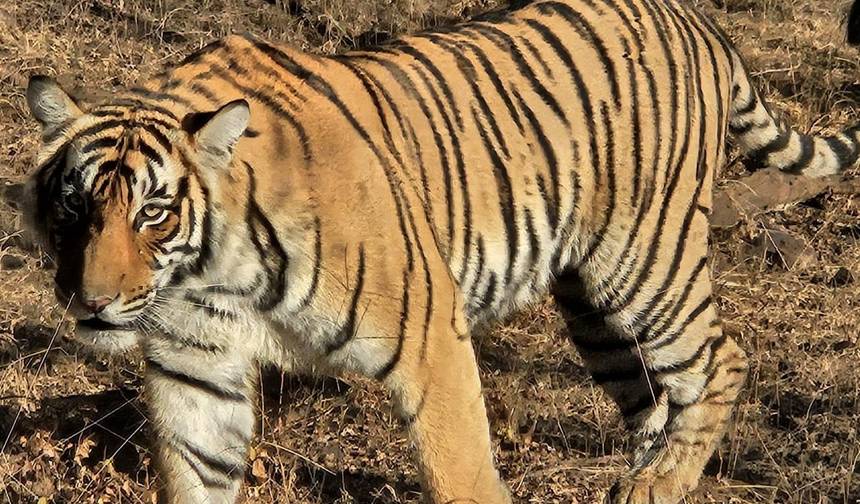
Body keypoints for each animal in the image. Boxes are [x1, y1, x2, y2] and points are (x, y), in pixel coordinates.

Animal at [22, 0, 859, 502]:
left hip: (643, 264)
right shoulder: (193, 370)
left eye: (154, 213)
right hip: (591, 306)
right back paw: (642, 477)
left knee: (724, 358)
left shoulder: (430, 334)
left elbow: (459, 469)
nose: (92, 302)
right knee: (656, 396)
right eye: (74, 204)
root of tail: (695, 17)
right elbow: (198, 474)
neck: (210, 276)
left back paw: (661, 483)